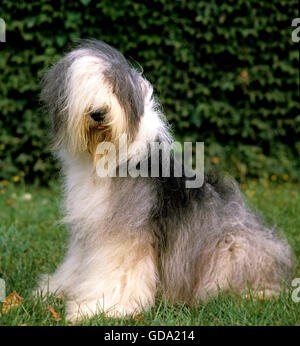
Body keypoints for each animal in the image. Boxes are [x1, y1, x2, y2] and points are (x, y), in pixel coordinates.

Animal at [37, 39, 292, 320]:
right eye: (84, 88)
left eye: (114, 87)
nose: (99, 113)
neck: (107, 157)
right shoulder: (88, 229)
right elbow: (77, 264)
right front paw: (54, 290)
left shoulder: (125, 235)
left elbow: (117, 273)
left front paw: (98, 308)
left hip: (231, 249)